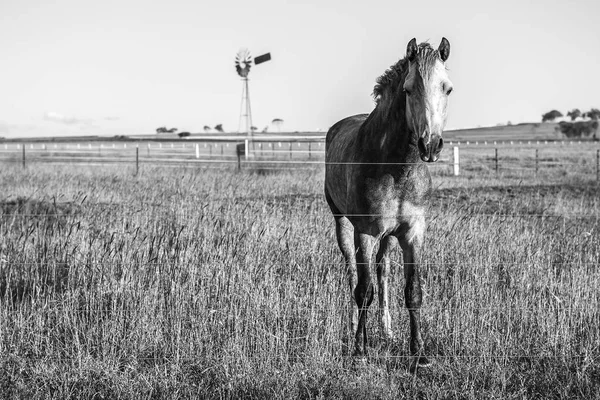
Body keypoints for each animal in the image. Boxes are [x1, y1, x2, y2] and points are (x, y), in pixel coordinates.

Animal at [326, 37, 452, 368]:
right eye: (408, 89)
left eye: (447, 88)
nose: (430, 145)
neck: (396, 168)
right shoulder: (366, 233)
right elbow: (363, 291)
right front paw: (359, 350)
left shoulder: (413, 232)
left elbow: (413, 291)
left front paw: (418, 352)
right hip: (343, 225)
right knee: (353, 274)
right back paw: (355, 330)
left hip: (388, 237)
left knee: (382, 271)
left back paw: (386, 330)